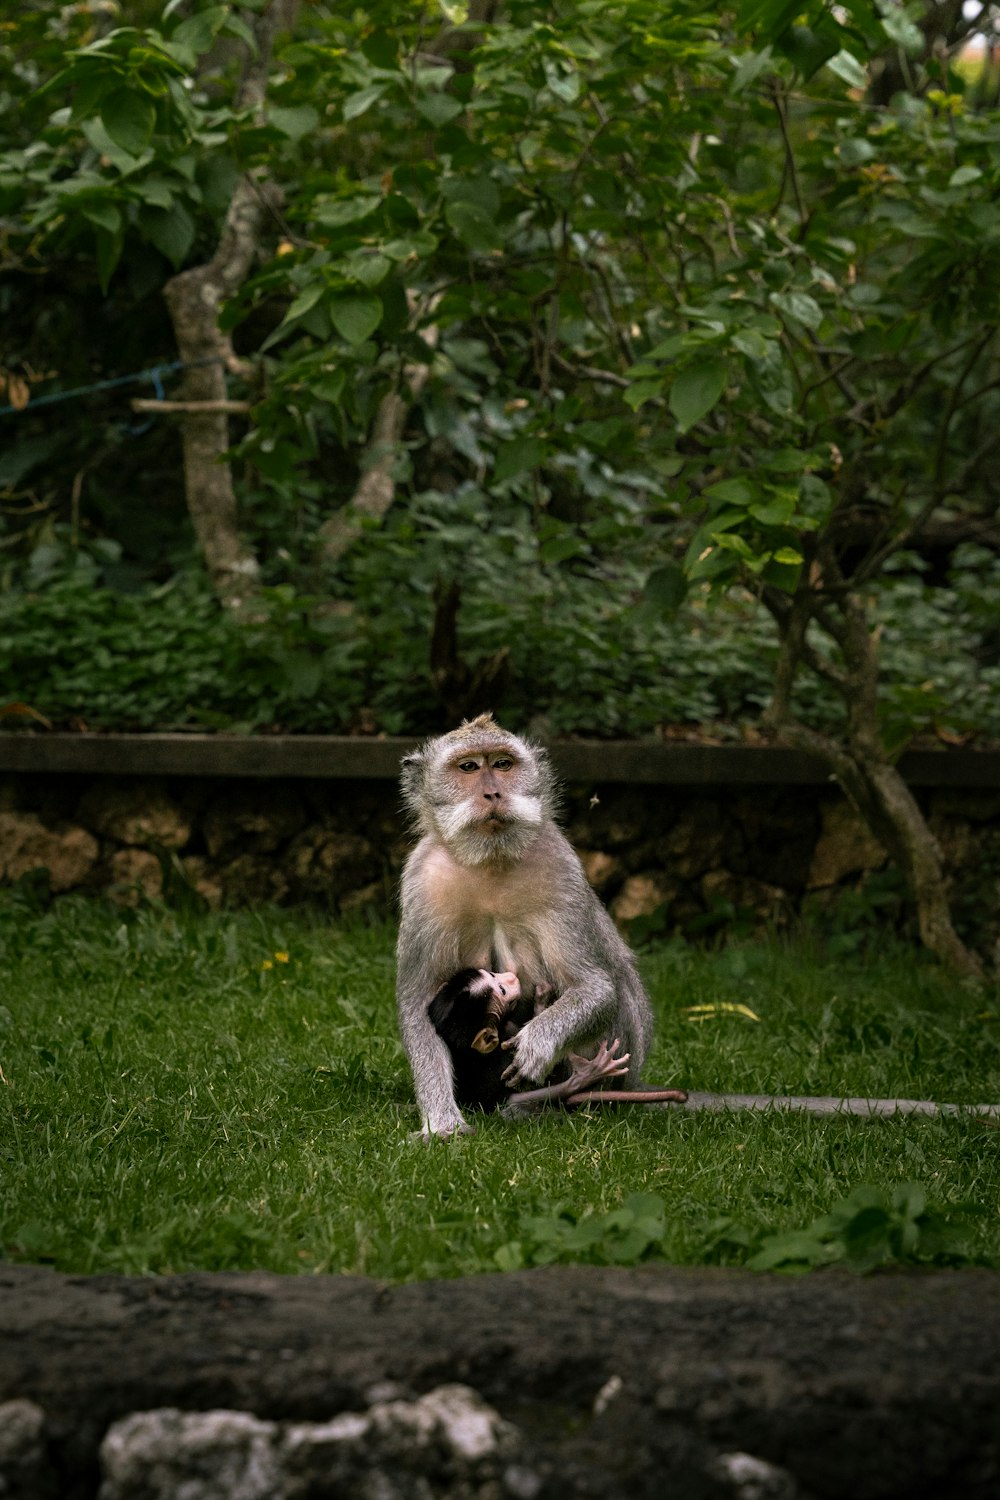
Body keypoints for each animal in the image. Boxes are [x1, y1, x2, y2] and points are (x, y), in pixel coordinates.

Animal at [398, 714, 656, 1134]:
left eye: (503, 764)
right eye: (468, 767)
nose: (492, 794)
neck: (490, 860)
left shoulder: (559, 863)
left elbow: (596, 987)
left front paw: (537, 1043)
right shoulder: (423, 881)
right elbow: (419, 1002)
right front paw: (442, 1122)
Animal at [431, 972, 689, 1116]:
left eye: (492, 974)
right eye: (501, 990)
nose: (511, 976)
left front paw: (541, 999)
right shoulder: (503, 1042)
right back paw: (586, 1076)